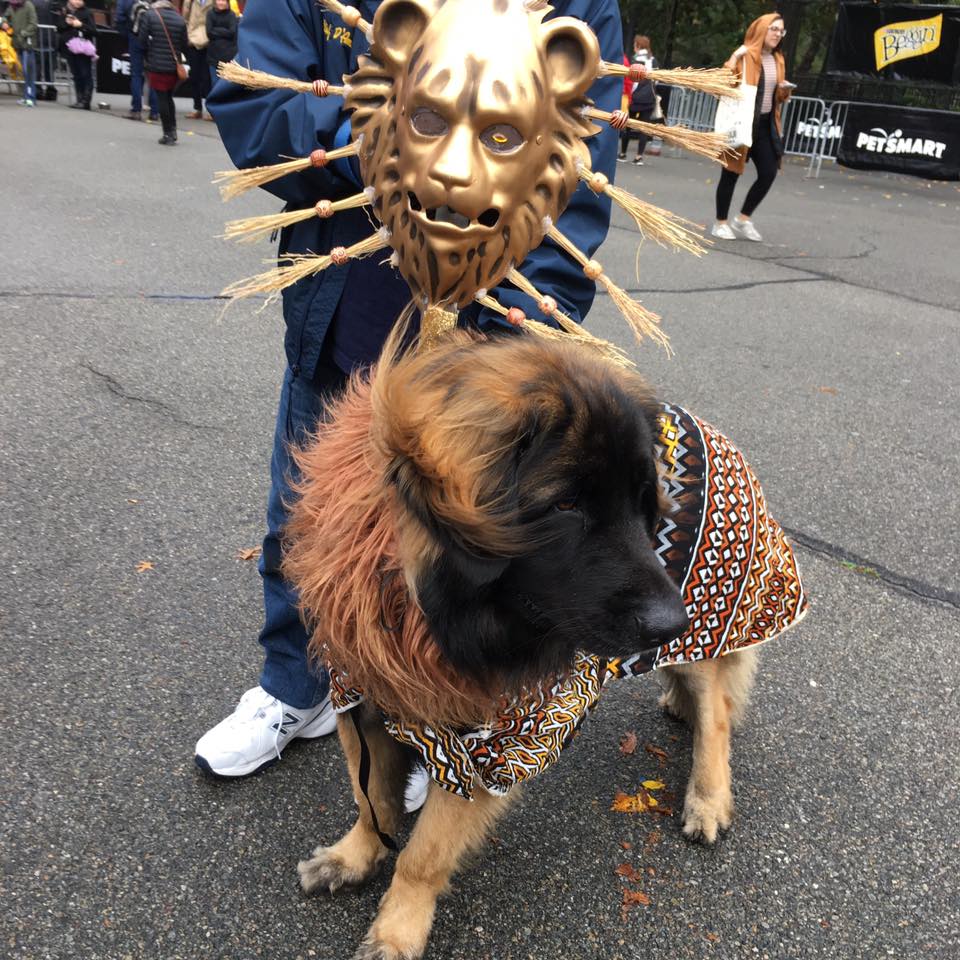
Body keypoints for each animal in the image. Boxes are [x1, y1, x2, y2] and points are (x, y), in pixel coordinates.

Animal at [284, 332, 804, 960]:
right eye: (564, 506)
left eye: (643, 505)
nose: (669, 625)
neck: (429, 615)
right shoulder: (362, 702)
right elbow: (371, 802)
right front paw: (354, 855)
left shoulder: (489, 753)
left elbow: (423, 856)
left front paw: (396, 930)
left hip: (706, 624)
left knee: (717, 713)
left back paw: (706, 798)